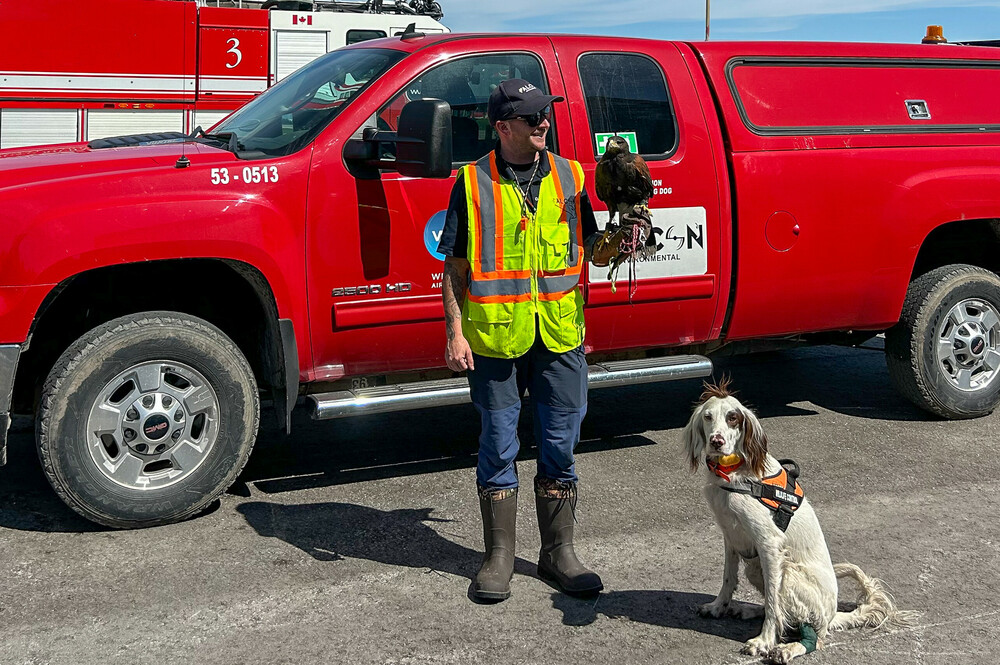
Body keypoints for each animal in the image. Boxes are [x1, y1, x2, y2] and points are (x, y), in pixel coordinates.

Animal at [684, 382, 912, 660]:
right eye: (708, 417)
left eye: (732, 418)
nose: (716, 442)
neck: (735, 474)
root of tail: (832, 615)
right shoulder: (731, 536)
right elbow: (728, 579)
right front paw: (719, 607)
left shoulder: (770, 544)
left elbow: (774, 603)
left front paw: (764, 641)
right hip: (755, 567)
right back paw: (749, 610)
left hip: (788, 573)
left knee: (813, 633)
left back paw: (788, 648)